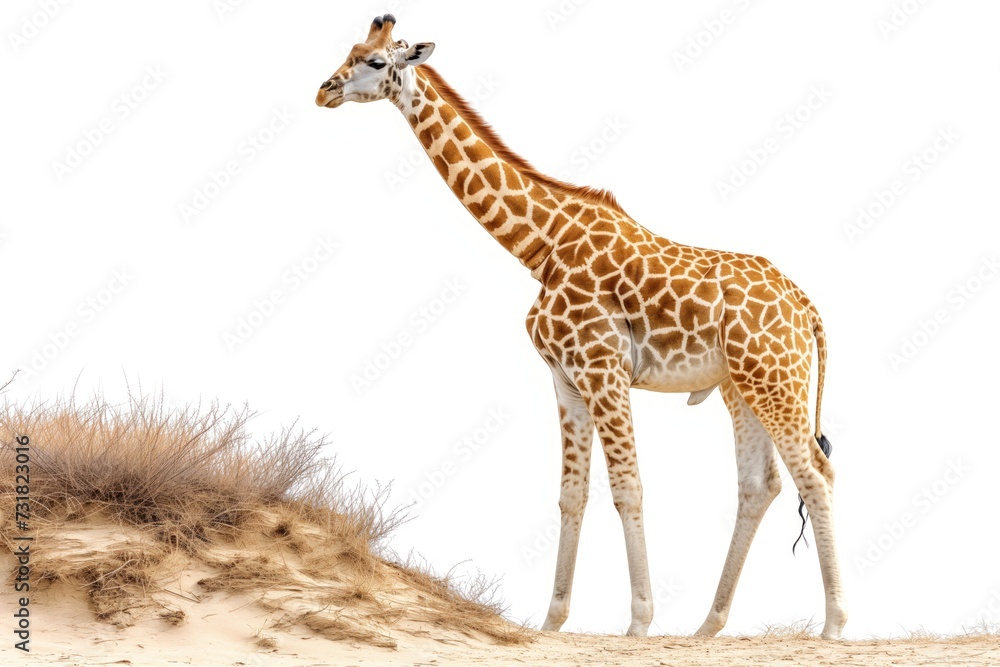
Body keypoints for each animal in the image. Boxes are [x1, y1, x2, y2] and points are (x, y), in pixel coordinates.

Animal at [316, 15, 847, 640]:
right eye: (350, 50)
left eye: (376, 62)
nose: (324, 90)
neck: (539, 245)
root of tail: (808, 308)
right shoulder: (565, 379)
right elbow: (572, 495)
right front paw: (552, 621)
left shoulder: (603, 369)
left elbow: (628, 488)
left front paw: (638, 622)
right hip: (742, 386)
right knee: (759, 485)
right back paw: (707, 627)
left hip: (775, 379)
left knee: (816, 473)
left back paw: (833, 624)